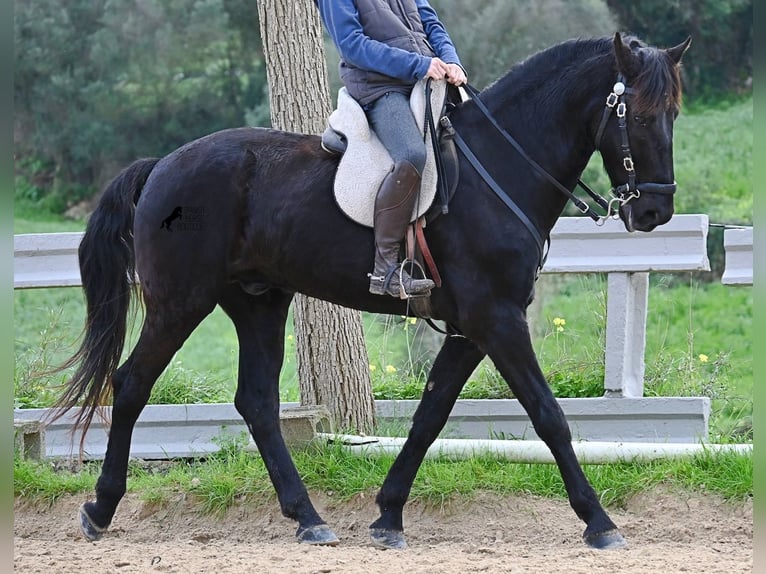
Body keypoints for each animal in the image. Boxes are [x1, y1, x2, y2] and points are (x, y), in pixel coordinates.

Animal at [52, 32, 690, 550]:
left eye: (674, 114)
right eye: (635, 114)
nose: (655, 212)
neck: (501, 166)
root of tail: (163, 165)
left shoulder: (471, 328)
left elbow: (430, 414)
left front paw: (388, 515)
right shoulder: (498, 319)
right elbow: (548, 415)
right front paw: (599, 521)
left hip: (258, 302)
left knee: (256, 402)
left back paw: (308, 518)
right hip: (181, 302)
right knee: (131, 384)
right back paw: (100, 508)